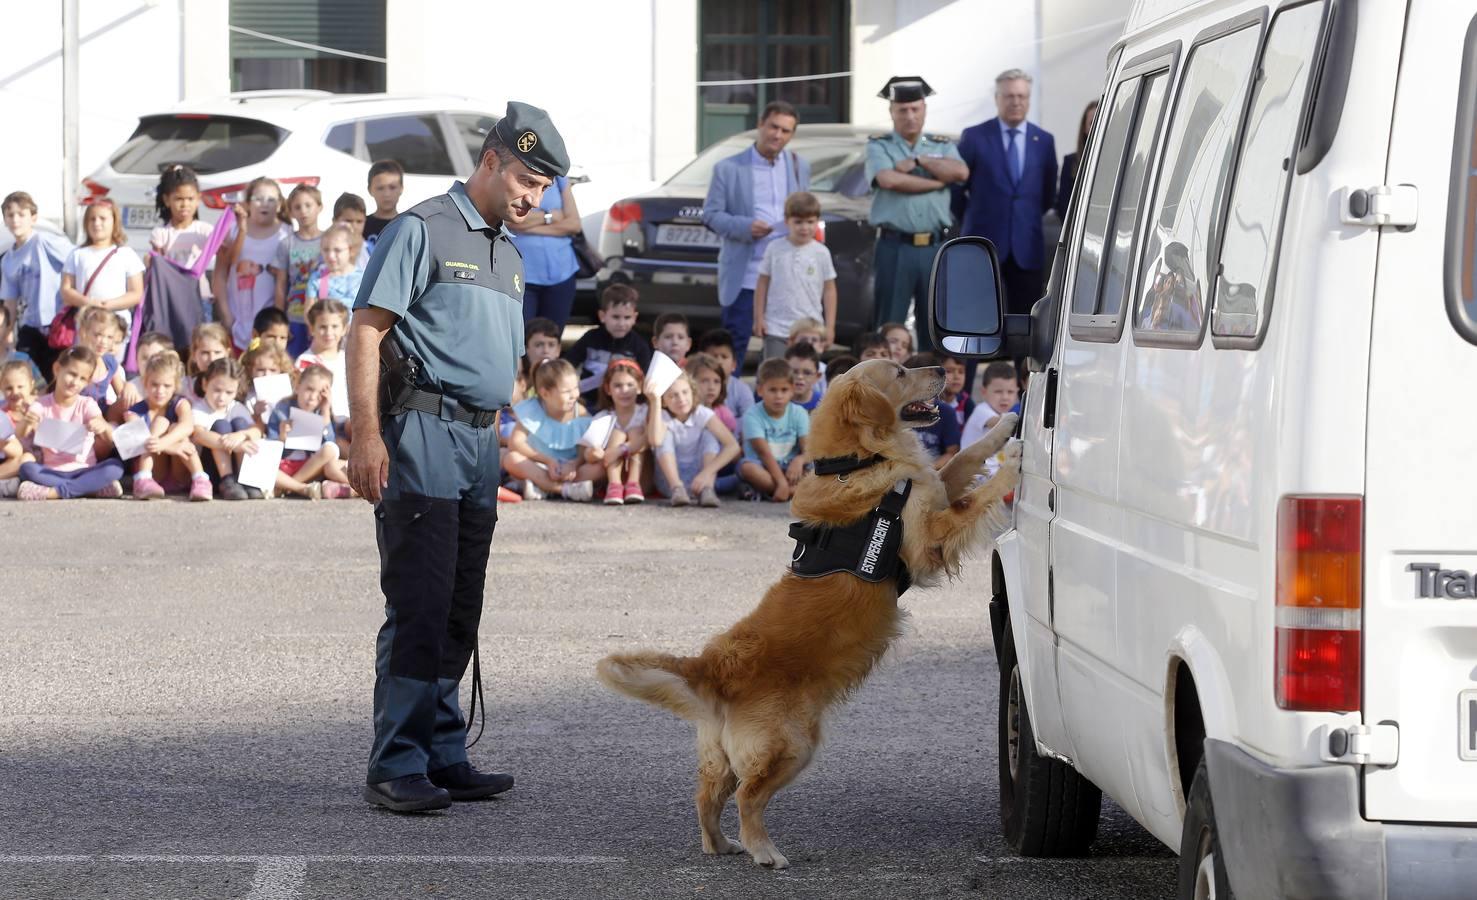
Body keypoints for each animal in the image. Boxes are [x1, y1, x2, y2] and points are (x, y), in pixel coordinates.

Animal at [593, 362, 1022, 868]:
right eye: (900, 371)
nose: (939, 367)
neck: (857, 461)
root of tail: (712, 668)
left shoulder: (934, 486)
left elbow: (964, 459)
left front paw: (1005, 427)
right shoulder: (928, 540)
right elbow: (975, 498)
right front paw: (1015, 461)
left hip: (721, 755)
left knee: (706, 797)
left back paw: (720, 844)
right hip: (793, 745)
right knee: (748, 797)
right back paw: (764, 851)